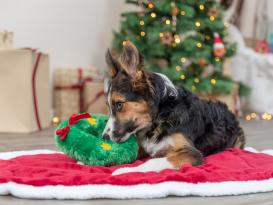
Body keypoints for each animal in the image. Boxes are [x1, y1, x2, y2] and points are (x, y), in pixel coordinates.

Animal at [102, 40, 244, 175]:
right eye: (108, 106)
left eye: (119, 104)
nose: (104, 137)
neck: (161, 115)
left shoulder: (192, 153)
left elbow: (152, 162)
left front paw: (125, 170)